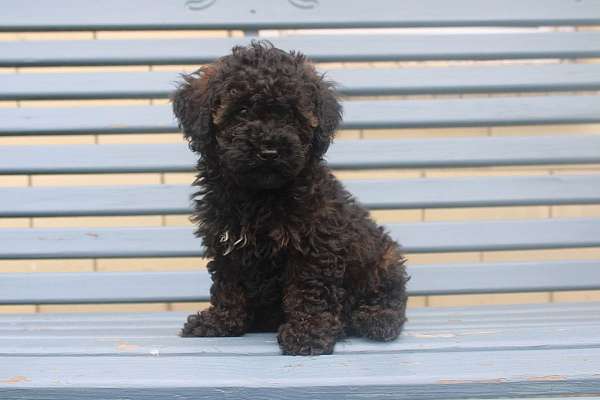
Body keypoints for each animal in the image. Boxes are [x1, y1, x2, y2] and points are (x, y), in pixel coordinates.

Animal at [171, 40, 410, 354]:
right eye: (242, 110)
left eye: (291, 115)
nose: (269, 150)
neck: (259, 196)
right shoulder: (226, 242)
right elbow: (228, 285)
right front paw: (220, 322)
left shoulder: (314, 245)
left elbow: (308, 290)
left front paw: (309, 333)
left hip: (383, 258)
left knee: (390, 294)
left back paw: (377, 319)